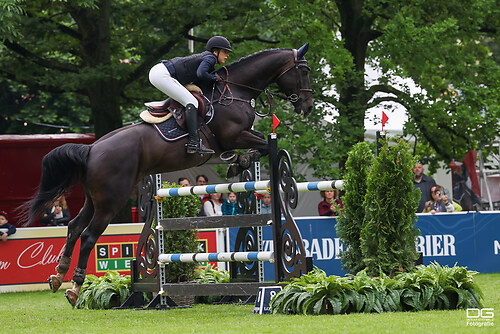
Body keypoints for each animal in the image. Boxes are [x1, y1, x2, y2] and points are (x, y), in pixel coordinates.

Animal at [25, 43, 312, 304]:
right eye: (304, 70)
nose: (307, 107)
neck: (236, 91)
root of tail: (91, 149)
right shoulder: (234, 135)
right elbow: (263, 144)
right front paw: (242, 160)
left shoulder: (237, 137)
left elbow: (259, 144)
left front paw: (238, 161)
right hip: (111, 201)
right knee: (88, 236)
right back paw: (74, 288)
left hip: (94, 199)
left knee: (74, 227)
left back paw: (58, 276)